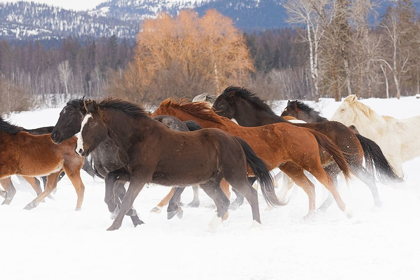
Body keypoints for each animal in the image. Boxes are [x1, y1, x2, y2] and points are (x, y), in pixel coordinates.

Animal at [75, 97, 278, 231]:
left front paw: (114, 226)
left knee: (250, 194)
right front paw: (111, 207)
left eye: (92, 123)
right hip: (209, 182)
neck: (139, 138)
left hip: (234, 175)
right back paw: (210, 227)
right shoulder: (129, 172)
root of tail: (235, 139)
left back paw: (255, 225)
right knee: (223, 202)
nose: (79, 150)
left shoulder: (141, 177)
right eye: (81, 122)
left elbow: (126, 200)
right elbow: (111, 179)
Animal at [153, 98, 352, 219]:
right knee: (310, 187)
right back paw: (310, 216)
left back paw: (344, 210)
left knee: (328, 183)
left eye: (157, 116)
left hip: (310, 164)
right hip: (291, 167)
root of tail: (307, 131)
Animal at [213, 86, 400, 209]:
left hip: (352, 164)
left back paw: (377, 205)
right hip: (333, 168)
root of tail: (353, 134)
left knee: (369, 181)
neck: (263, 128)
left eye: (220, 104)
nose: (212, 116)